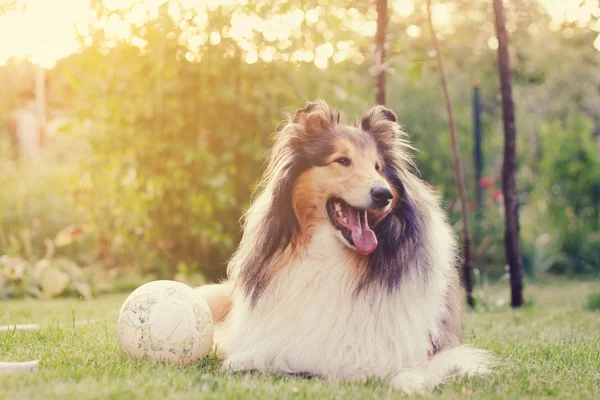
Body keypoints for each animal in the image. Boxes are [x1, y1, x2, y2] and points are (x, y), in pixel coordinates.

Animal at [197, 100, 492, 394]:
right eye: (342, 160)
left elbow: (415, 369)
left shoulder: (435, 349)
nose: (383, 194)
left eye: (378, 167)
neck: (333, 257)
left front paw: (409, 382)